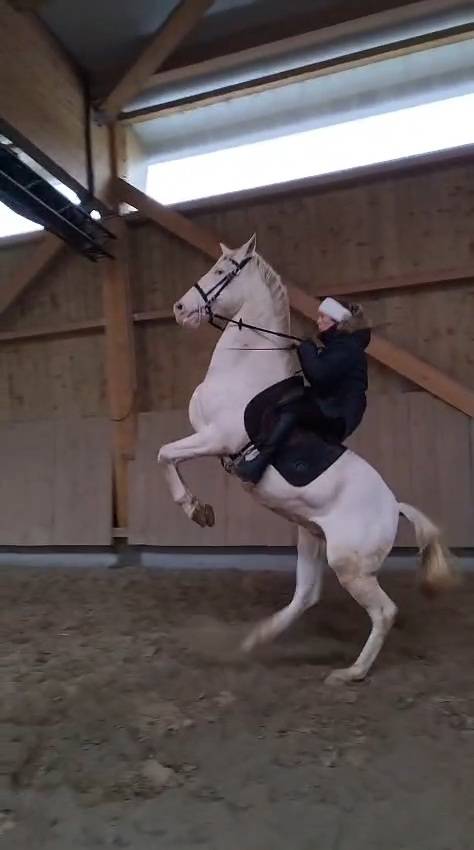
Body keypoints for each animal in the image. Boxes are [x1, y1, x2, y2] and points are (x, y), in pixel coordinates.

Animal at [157, 235, 455, 683]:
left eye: (222, 271)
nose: (179, 309)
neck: (245, 365)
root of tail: (394, 507)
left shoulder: (215, 438)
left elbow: (165, 456)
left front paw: (197, 510)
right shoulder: (207, 438)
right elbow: (168, 456)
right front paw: (199, 509)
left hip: (348, 564)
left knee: (383, 612)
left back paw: (350, 673)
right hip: (311, 535)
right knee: (306, 596)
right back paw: (253, 642)